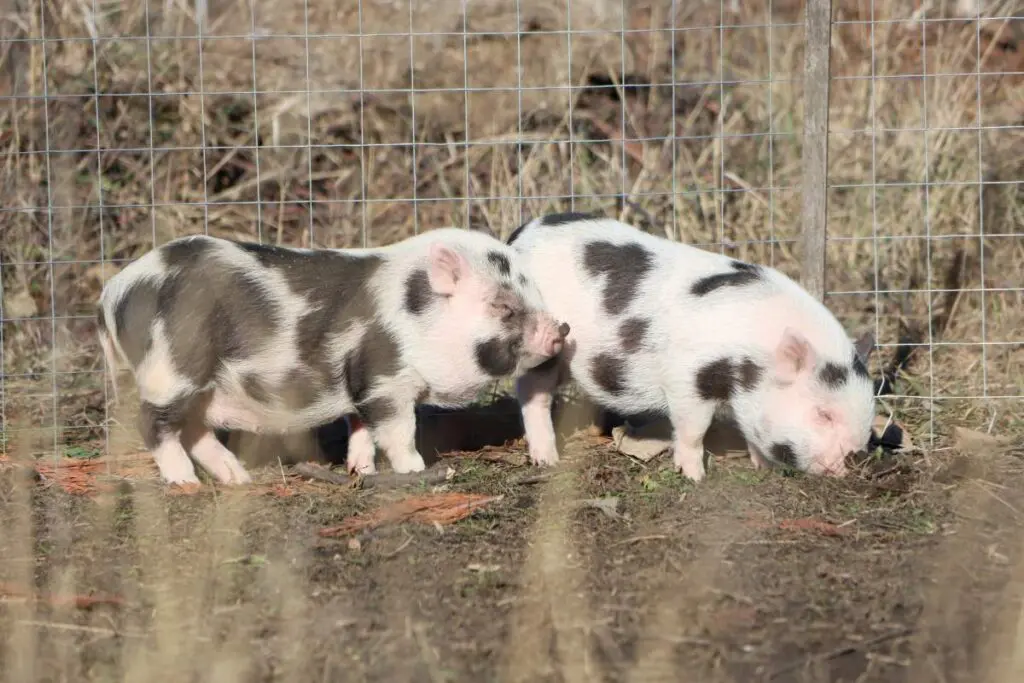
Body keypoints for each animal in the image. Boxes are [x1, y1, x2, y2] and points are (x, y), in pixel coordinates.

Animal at [96, 229, 569, 486]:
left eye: (534, 293)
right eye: (504, 307)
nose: (561, 331)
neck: (414, 318)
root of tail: (113, 292)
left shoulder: (358, 384)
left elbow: (359, 426)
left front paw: (361, 471)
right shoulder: (384, 378)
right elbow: (397, 430)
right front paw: (415, 470)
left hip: (198, 386)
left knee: (193, 427)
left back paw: (238, 479)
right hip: (169, 369)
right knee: (152, 424)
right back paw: (186, 483)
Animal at [507, 213, 877, 482]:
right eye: (823, 414)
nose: (855, 457)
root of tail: (519, 236)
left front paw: (762, 468)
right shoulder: (688, 375)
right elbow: (693, 429)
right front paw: (695, 477)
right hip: (545, 341)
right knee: (532, 395)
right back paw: (547, 461)